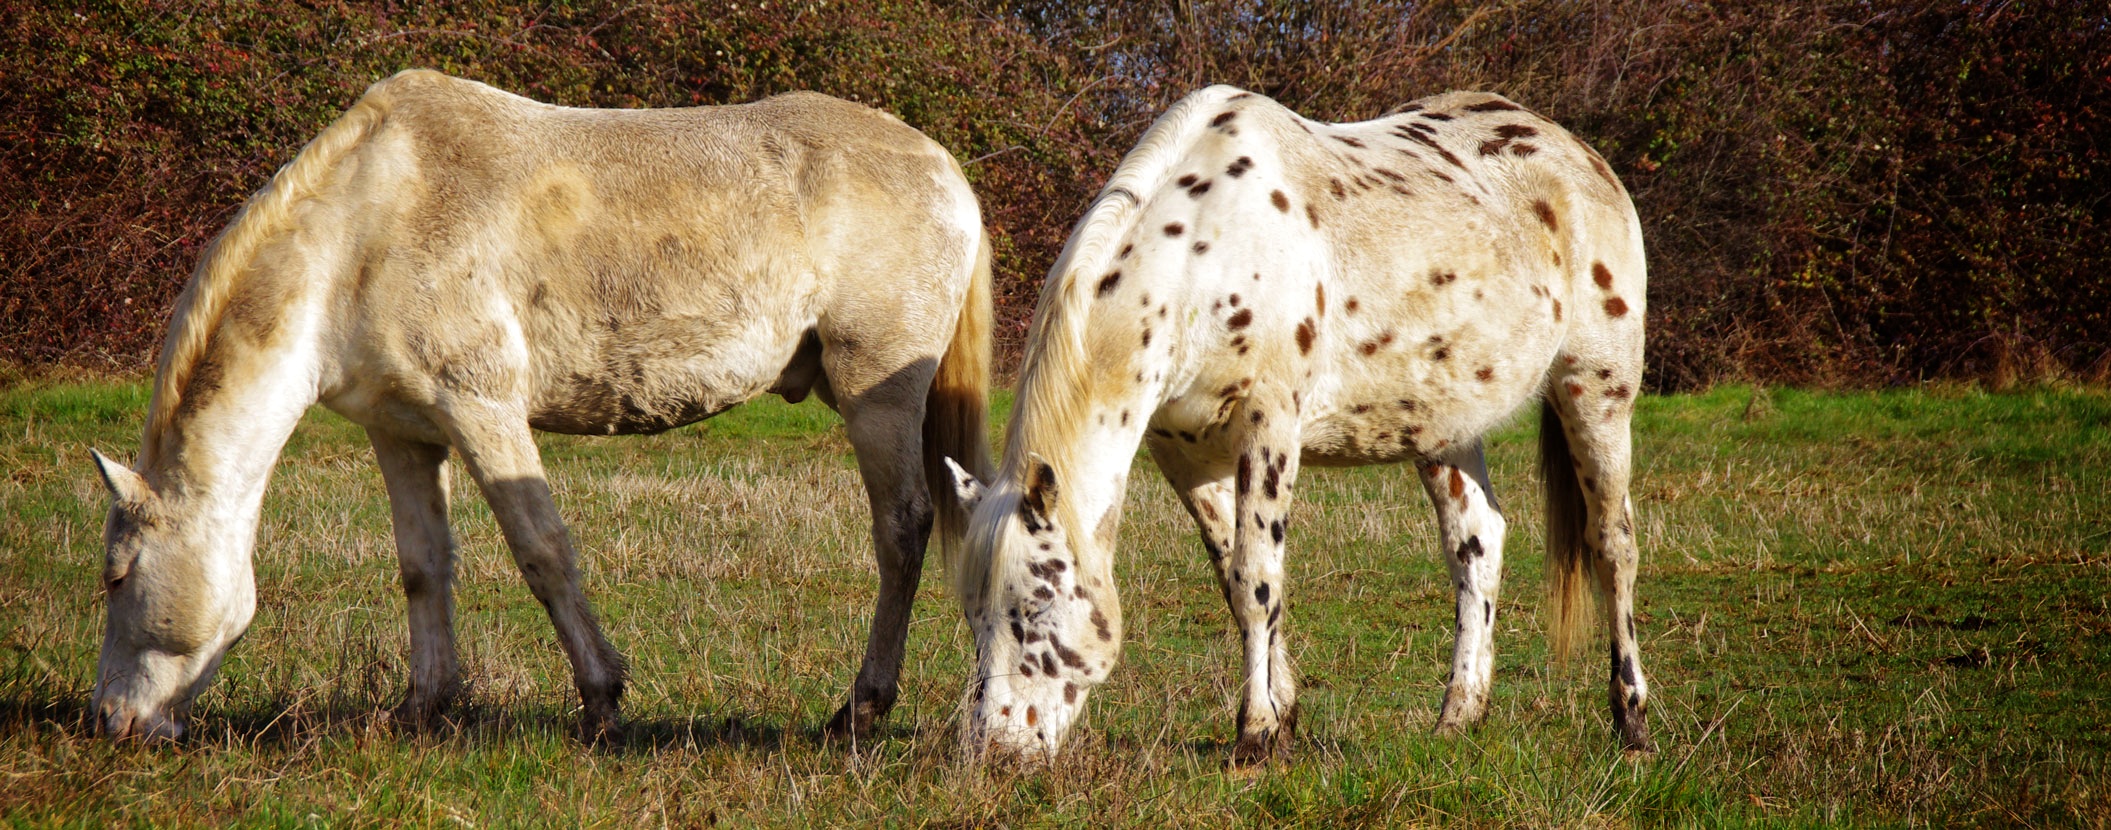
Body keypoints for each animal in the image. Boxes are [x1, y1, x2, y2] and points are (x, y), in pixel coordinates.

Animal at [86, 71, 992, 739]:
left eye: (117, 576)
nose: (108, 722)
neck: (360, 232)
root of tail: (940, 164)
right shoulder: (402, 434)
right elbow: (423, 566)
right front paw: (420, 709)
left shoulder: (482, 408)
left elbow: (543, 552)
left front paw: (601, 702)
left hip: (879, 395)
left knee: (902, 529)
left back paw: (860, 710)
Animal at [949, 85, 1655, 764]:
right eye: (973, 617)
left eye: (1036, 605)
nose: (994, 752)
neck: (1204, 255)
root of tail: (1580, 157)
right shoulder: (1184, 455)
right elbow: (1234, 578)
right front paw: (1282, 720)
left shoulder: (1270, 429)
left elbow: (1257, 580)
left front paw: (1256, 734)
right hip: (1444, 427)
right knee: (1476, 544)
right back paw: (1458, 719)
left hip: (1596, 392)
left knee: (1612, 545)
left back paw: (1632, 722)